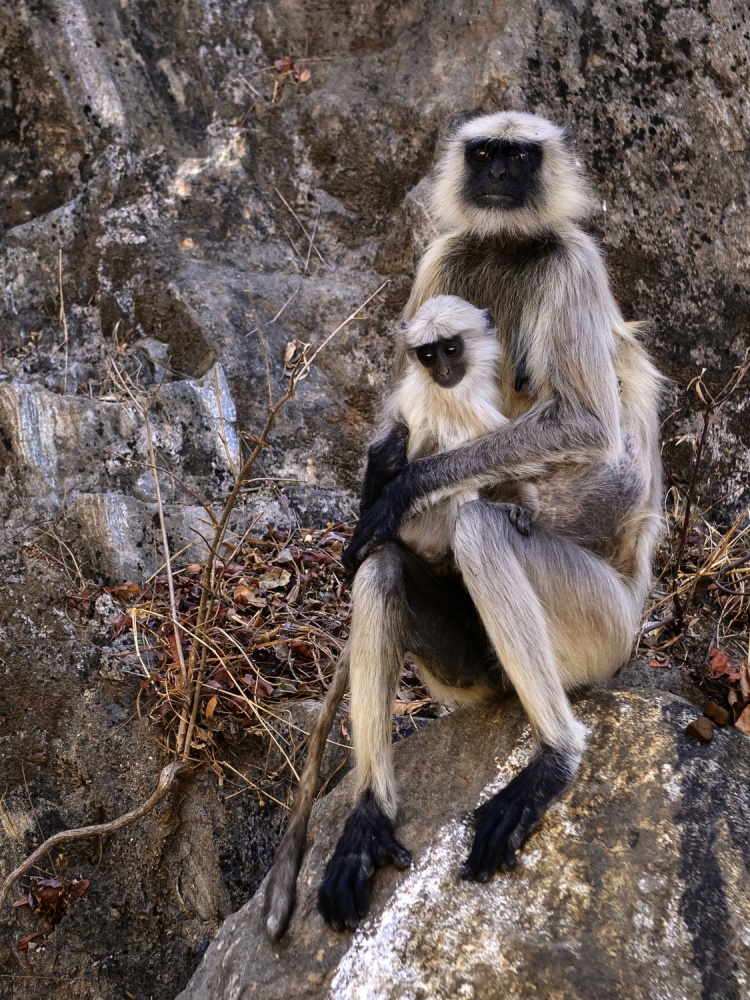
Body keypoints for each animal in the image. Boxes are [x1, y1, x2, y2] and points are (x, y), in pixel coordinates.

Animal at [264, 109, 664, 936]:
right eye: (484, 154)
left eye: (519, 156)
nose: (501, 178)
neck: (509, 245)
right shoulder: (445, 255)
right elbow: (396, 421)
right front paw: (382, 486)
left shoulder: (575, 262)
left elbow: (589, 431)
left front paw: (403, 492)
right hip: (461, 674)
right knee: (385, 568)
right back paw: (368, 815)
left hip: (605, 633)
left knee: (484, 528)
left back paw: (555, 756)